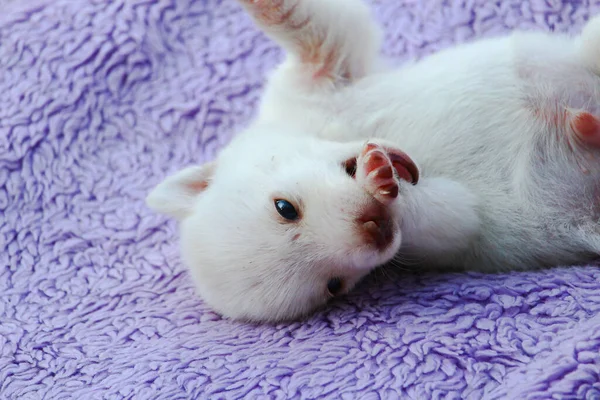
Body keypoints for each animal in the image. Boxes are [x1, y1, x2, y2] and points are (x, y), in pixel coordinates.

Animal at [146, 0, 600, 320]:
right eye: (333, 285)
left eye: (284, 208)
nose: (375, 228)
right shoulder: (443, 231)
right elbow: (447, 213)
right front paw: (383, 182)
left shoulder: (319, 78)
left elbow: (315, 24)